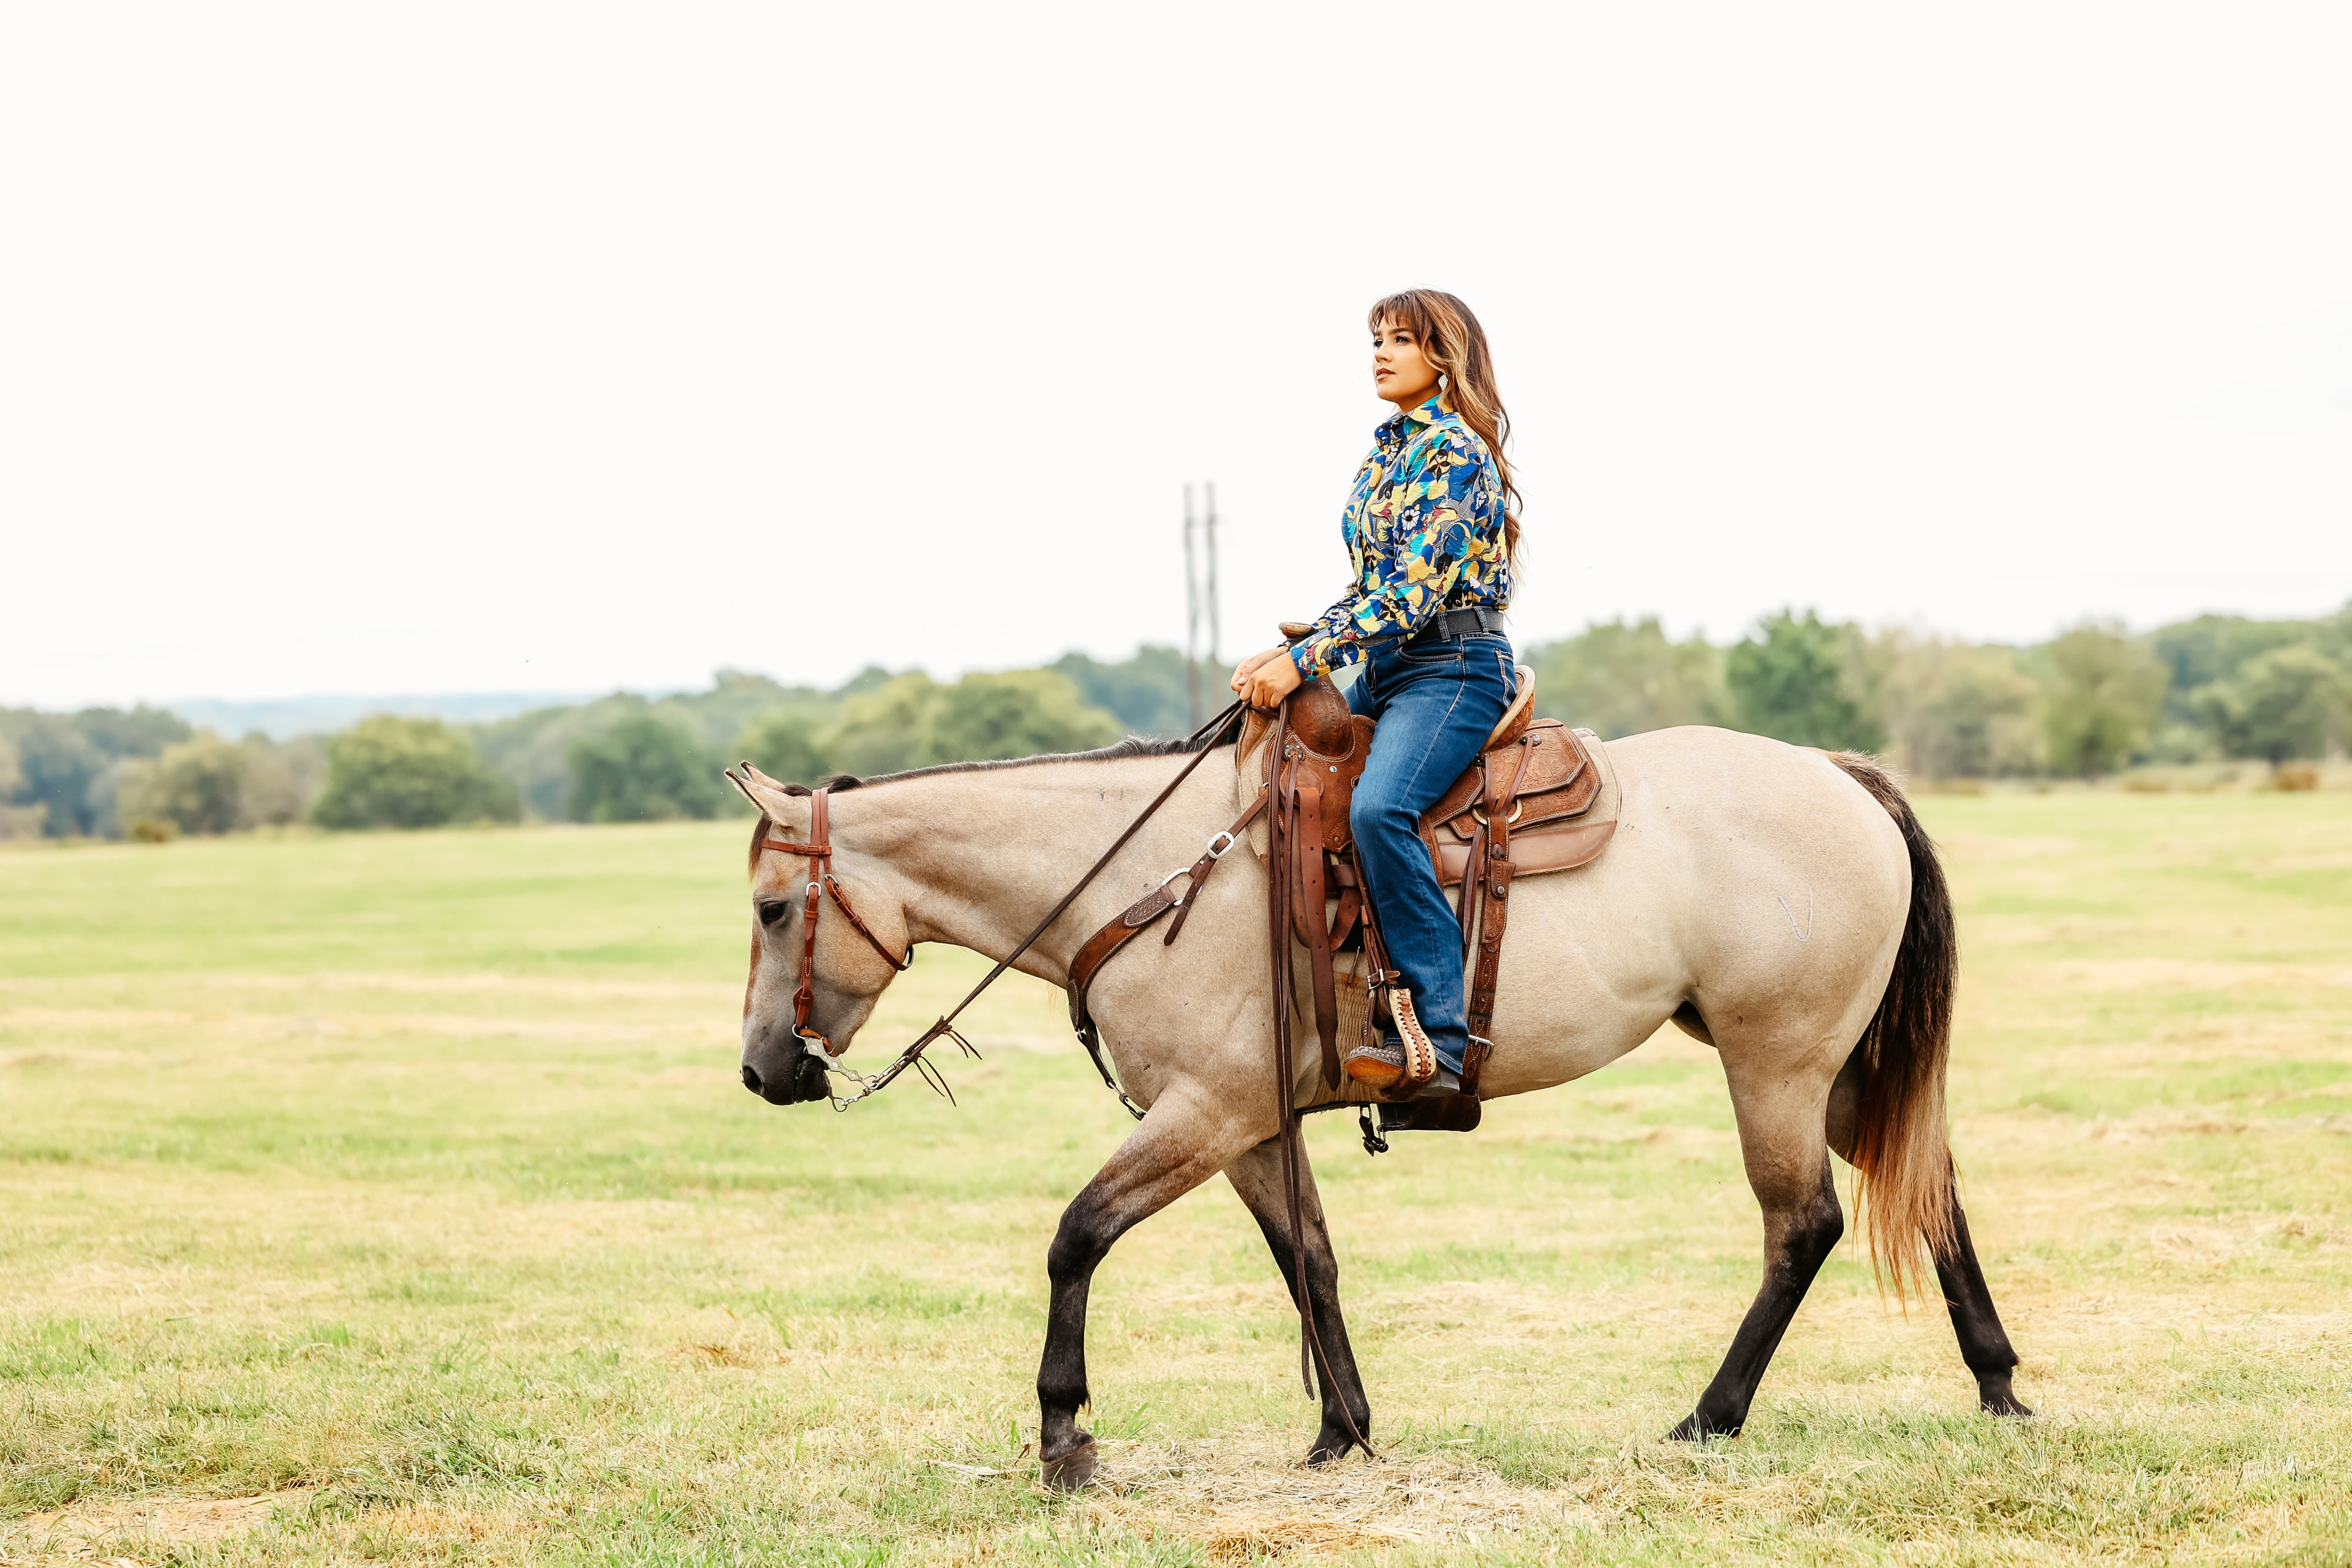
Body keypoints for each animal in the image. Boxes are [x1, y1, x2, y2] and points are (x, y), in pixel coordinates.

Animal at [724, 705, 2032, 1495]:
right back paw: (2001, 1387)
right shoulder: (1252, 1126)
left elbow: (1075, 1236)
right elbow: (1310, 1259)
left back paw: (1708, 1417)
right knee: (1928, 1187)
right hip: (1837, 1071)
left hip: (1777, 1065)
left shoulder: (1202, 1112)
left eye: (772, 908)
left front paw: (1064, 1435)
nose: (759, 1070)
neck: (1151, 879)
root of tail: (1840, 775)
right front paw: (1340, 1430)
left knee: (1803, 1226)